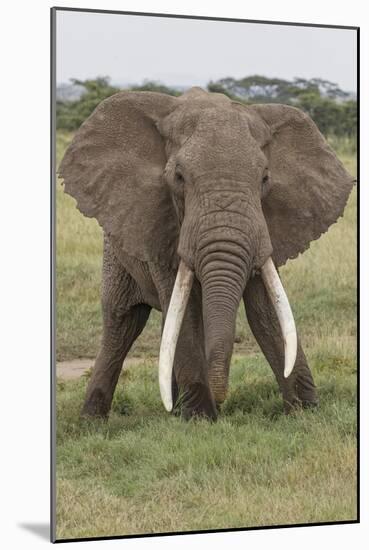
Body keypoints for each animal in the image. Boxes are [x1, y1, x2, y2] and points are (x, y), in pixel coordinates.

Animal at [58, 87, 354, 422]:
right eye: (179, 177)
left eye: (265, 178)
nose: (222, 398)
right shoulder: (161, 223)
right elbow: (184, 312)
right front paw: (200, 419)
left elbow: (266, 309)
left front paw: (306, 413)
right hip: (117, 246)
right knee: (122, 322)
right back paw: (93, 421)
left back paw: (172, 409)